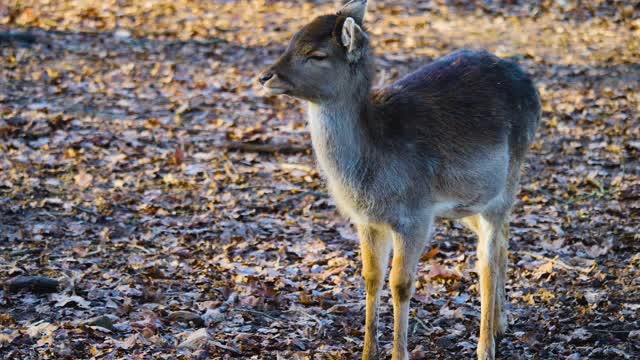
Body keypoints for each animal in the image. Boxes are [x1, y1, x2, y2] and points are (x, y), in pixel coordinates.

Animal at [255, 1, 540, 358]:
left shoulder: (414, 215)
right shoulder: (368, 220)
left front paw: (397, 352)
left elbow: (401, 284)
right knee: (502, 239)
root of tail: (532, 86)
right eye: (292, 40)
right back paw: (501, 322)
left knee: (486, 259)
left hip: (506, 181)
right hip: (470, 200)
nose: (265, 76)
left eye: (317, 55)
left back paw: (485, 346)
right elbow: (371, 277)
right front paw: (367, 351)